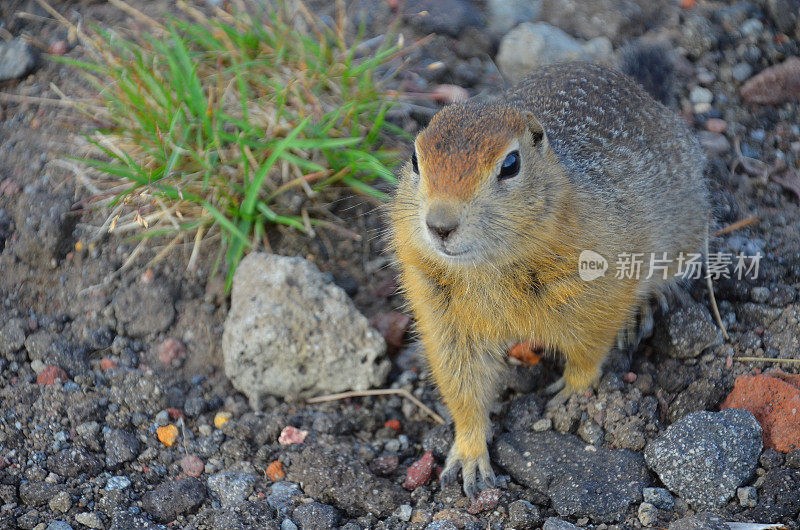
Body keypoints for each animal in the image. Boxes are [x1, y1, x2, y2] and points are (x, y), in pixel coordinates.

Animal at [390, 63, 708, 496]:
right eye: (415, 159)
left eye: (510, 164)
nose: (440, 224)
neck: (489, 266)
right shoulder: (442, 316)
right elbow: (462, 386)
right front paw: (469, 457)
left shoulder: (599, 290)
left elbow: (589, 351)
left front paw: (570, 392)